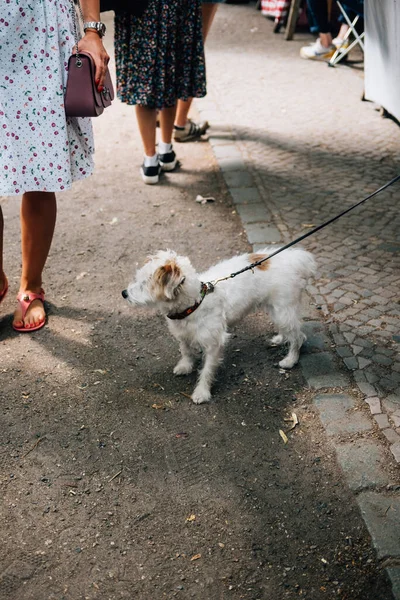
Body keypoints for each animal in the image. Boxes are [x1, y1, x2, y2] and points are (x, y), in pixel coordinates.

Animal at [122, 246, 316, 406]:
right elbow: (185, 350)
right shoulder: (182, 334)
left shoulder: (213, 344)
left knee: (299, 336)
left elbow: (207, 370)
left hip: (283, 310)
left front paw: (202, 392)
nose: (124, 293)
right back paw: (280, 338)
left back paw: (290, 359)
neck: (193, 304)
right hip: (275, 309)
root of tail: (294, 258)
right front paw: (185, 366)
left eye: (145, 283)